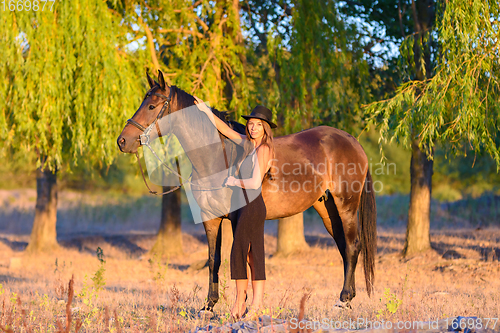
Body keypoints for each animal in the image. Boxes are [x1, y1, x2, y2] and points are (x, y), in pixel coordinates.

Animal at [117, 69, 376, 312]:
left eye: (151, 106)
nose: (122, 141)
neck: (217, 158)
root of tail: (352, 140)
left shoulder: (236, 219)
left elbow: (240, 258)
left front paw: (240, 307)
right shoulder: (210, 219)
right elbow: (214, 259)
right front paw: (209, 305)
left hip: (346, 206)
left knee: (352, 246)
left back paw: (344, 299)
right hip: (326, 208)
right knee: (344, 248)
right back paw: (348, 298)